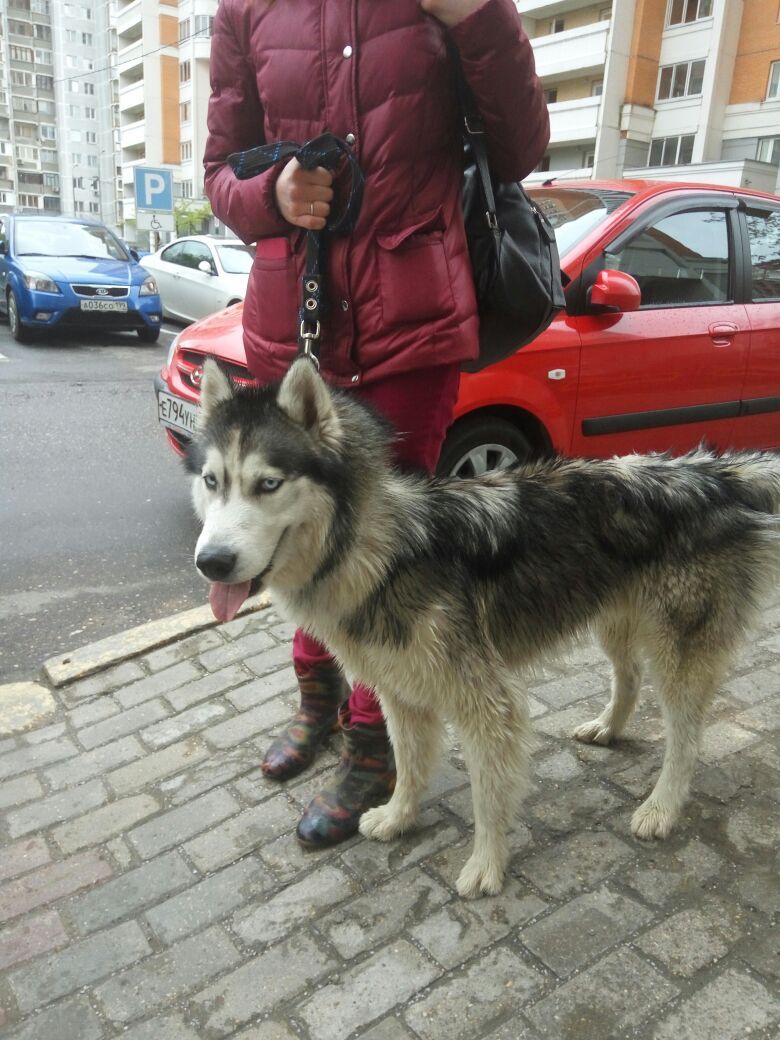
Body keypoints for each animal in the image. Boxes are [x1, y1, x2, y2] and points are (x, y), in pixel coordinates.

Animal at [189, 357, 780, 894]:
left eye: (268, 483)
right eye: (212, 481)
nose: (210, 562)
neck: (380, 550)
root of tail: (720, 473)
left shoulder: (487, 702)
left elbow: (487, 794)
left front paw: (487, 866)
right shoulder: (400, 690)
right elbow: (408, 764)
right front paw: (399, 817)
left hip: (677, 648)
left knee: (686, 735)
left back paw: (661, 806)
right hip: (612, 616)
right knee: (628, 676)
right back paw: (608, 728)